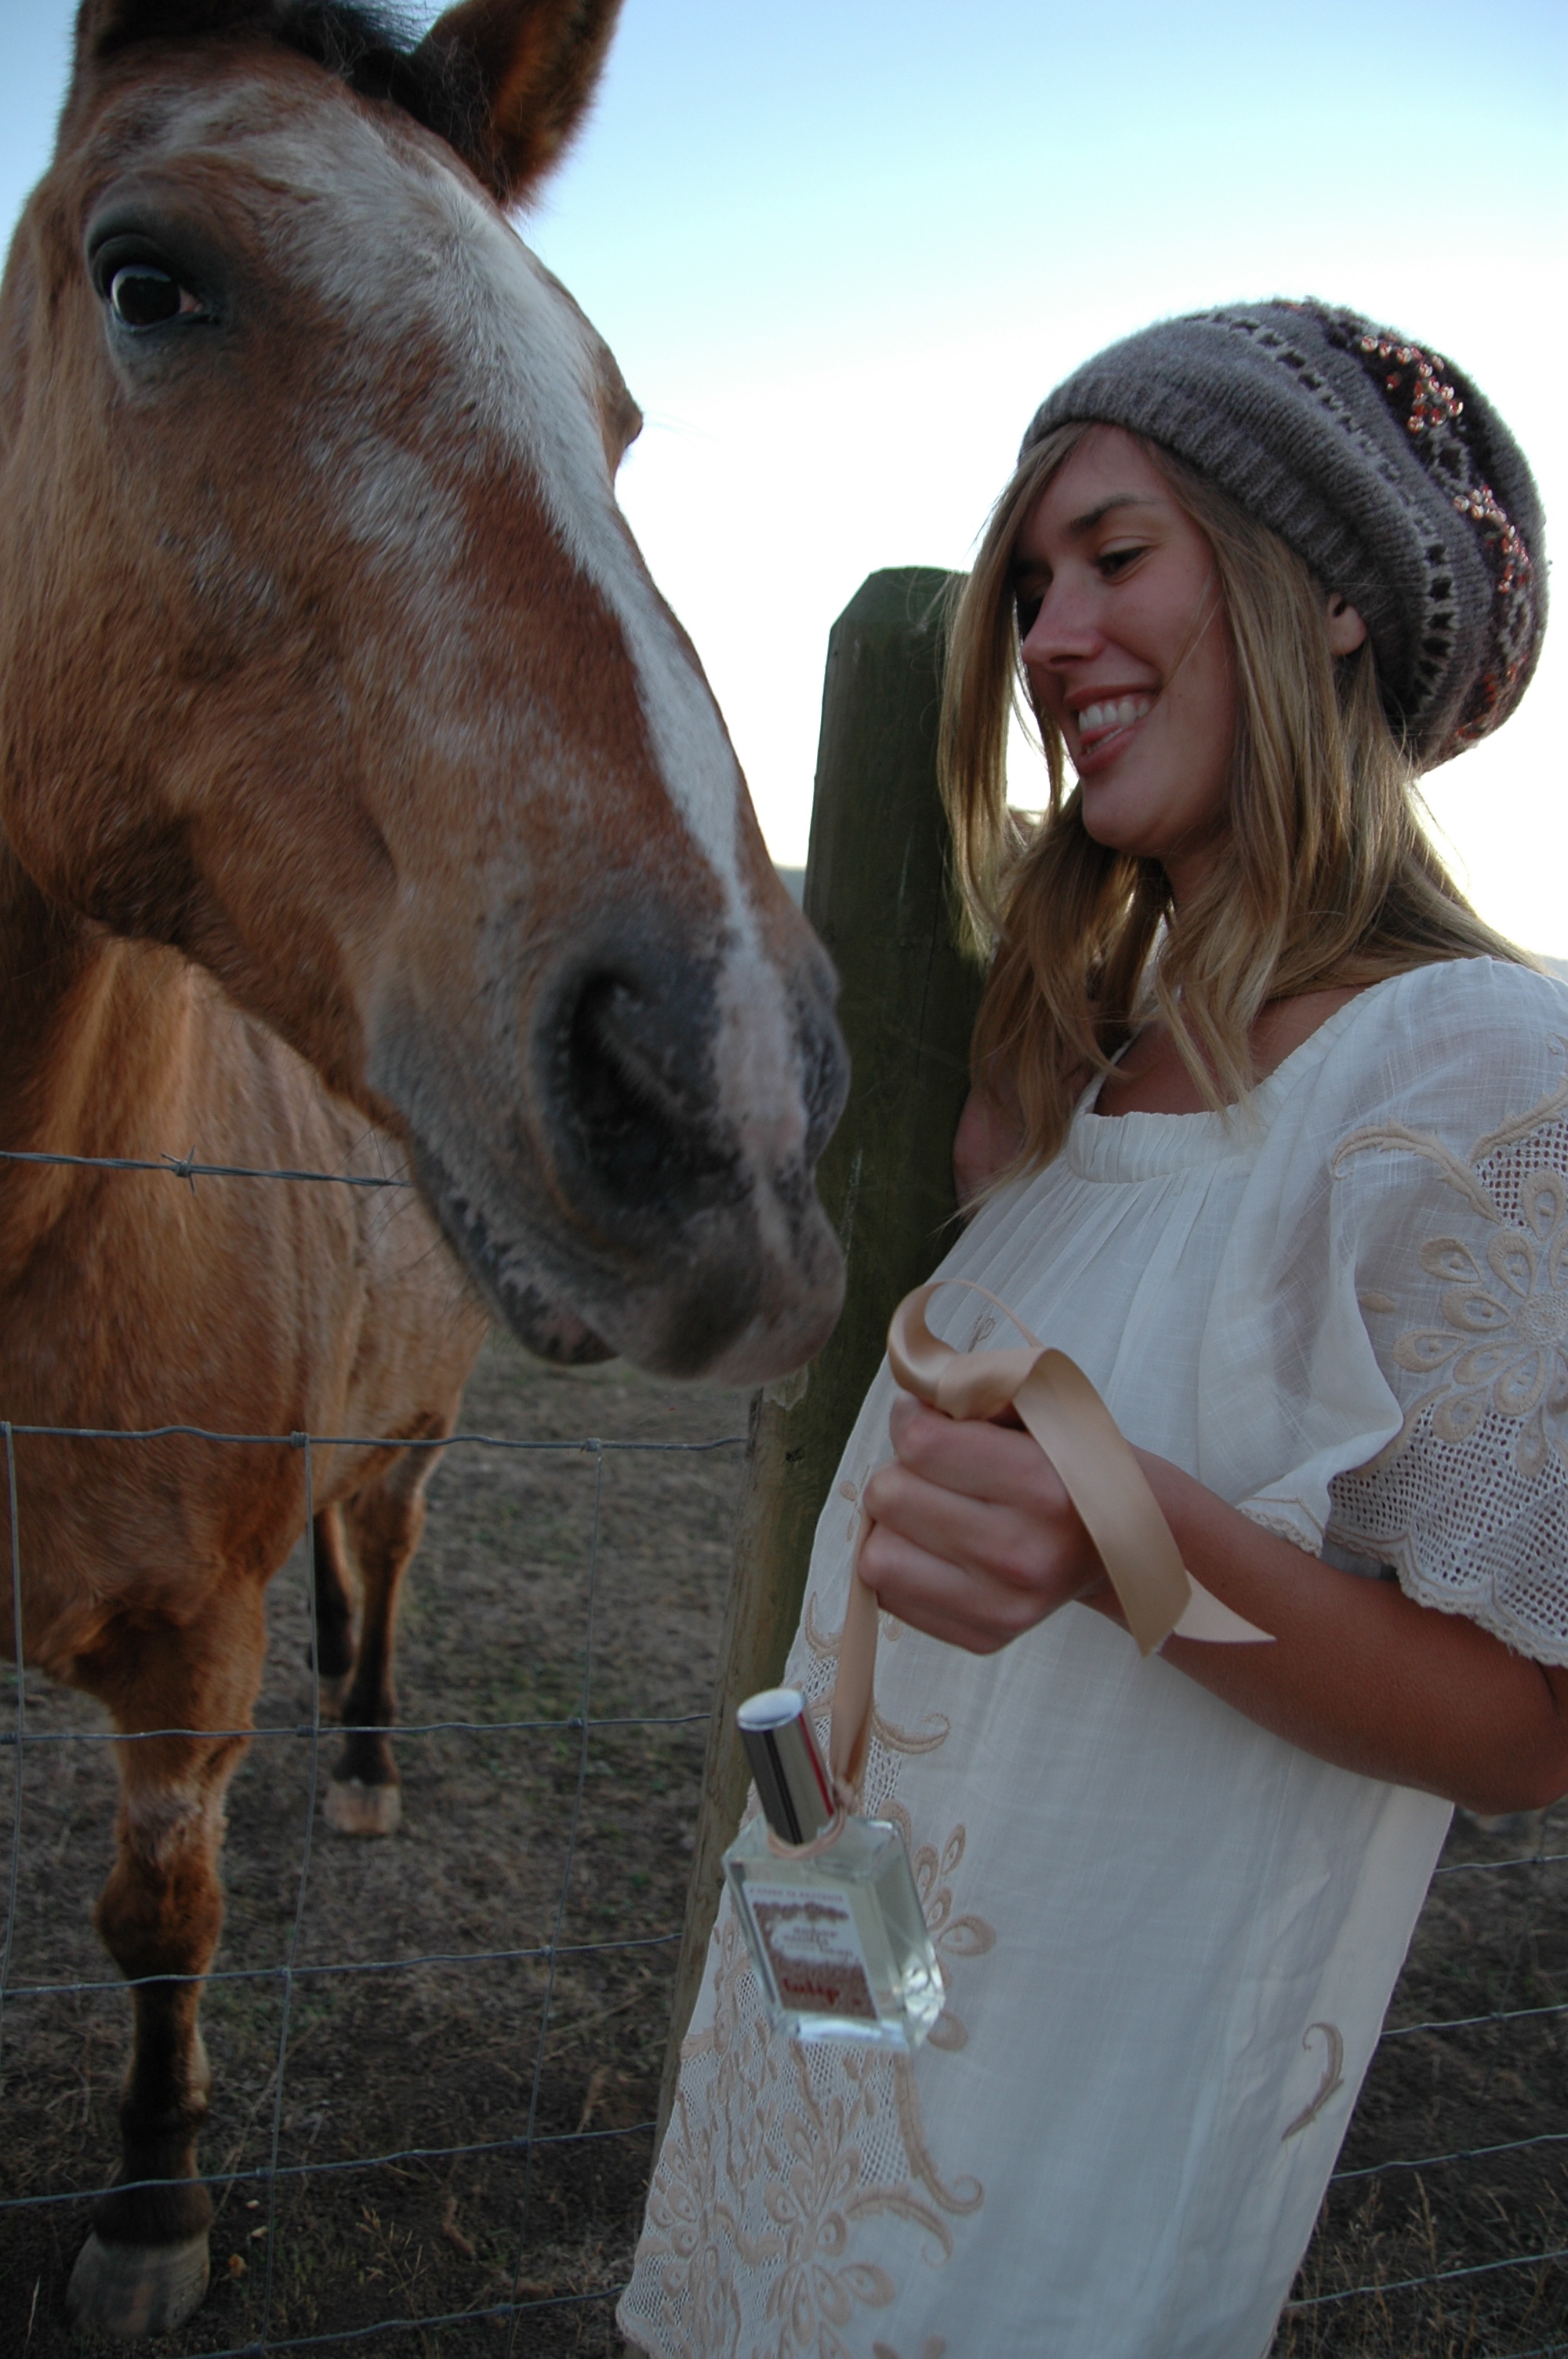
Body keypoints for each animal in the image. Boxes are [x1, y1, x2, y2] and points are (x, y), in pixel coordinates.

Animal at [0, 0, 844, 2330]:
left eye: (612, 405)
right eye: (149, 281)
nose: (733, 1084)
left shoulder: (181, 1670)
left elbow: (161, 1924)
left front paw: (152, 2206)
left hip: (414, 1438)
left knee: (382, 1550)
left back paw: (366, 1752)